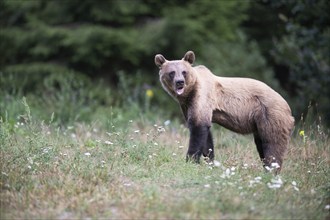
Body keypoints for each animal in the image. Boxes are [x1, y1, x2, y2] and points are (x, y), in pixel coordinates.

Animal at [156, 50, 296, 173]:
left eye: (184, 72)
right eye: (172, 72)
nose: (180, 82)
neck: (189, 94)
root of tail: (288, 108)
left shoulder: (202, 97)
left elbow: (198, 128)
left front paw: (190, 161)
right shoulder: (187, 106)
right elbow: (206, 137)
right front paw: (210, 161)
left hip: (270, 115)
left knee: (273, 144)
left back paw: (271, 171)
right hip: (260, 123)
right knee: (261, 144)